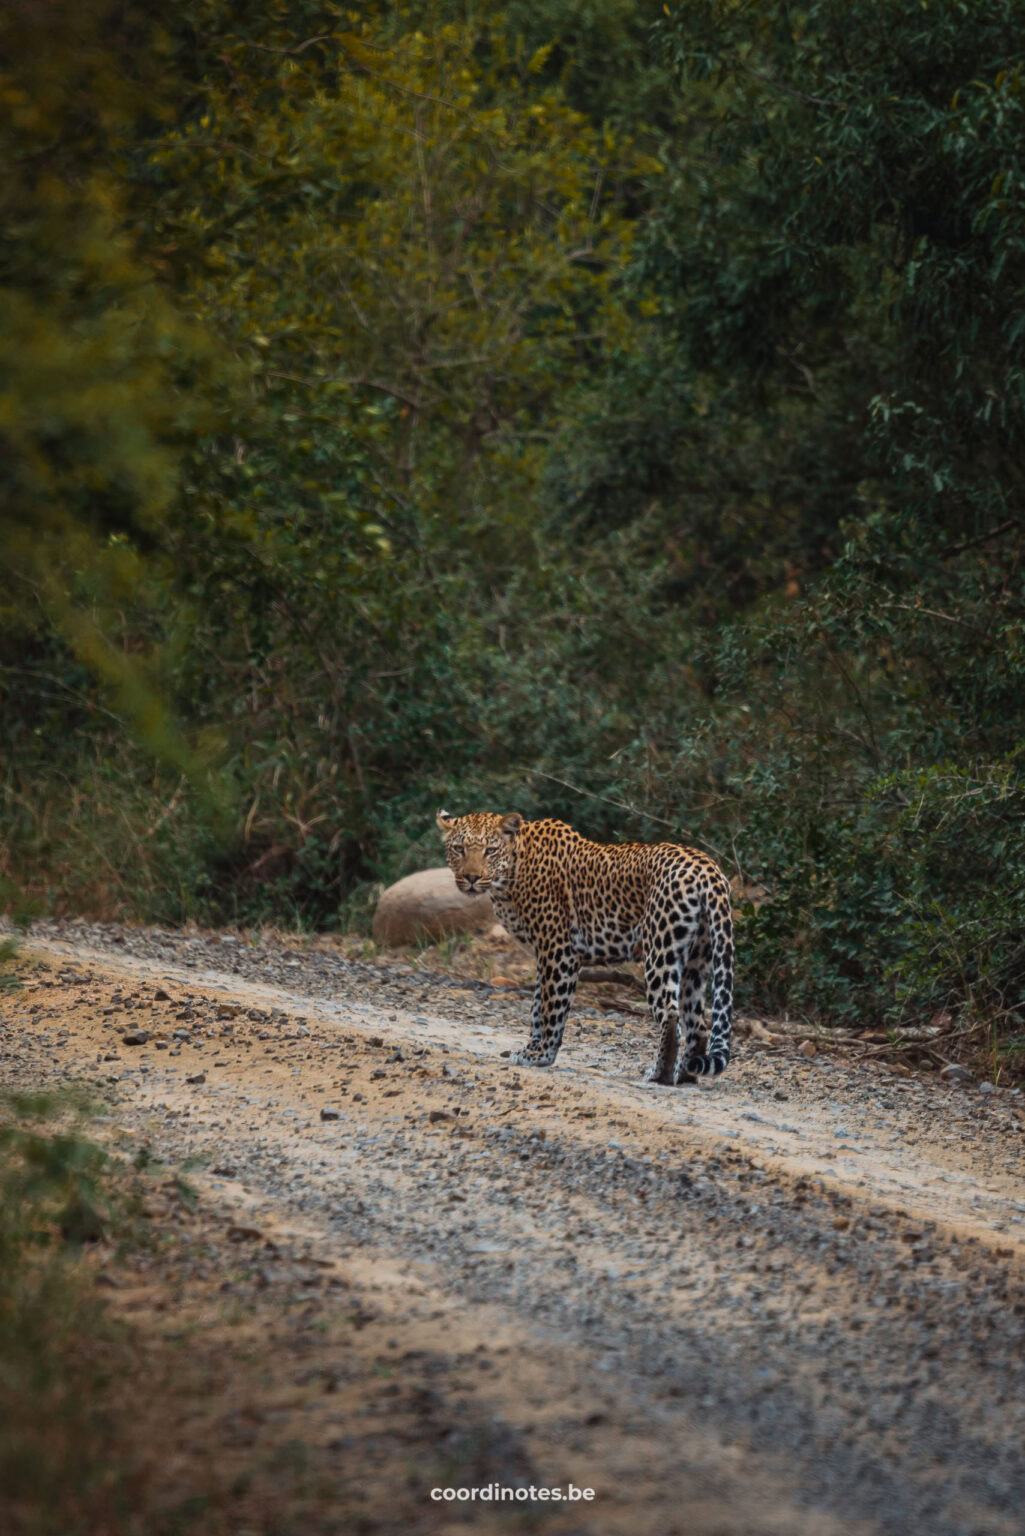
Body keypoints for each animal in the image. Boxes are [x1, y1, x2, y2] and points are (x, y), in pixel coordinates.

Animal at [436, 811, 734, 1087]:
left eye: (490, 850)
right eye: (459, 849)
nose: (471, 877)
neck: (510, 876)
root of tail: (707, 868)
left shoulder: (558, 949)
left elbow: (551, 1006)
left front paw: (541, 1055)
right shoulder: (543, 954)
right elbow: (536, 1005)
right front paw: (530, 1050)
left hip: (660, 949)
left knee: (671, 1016)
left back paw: (659, 1074)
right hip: (697, 958)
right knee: (697, 1023)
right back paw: (685, 1075)